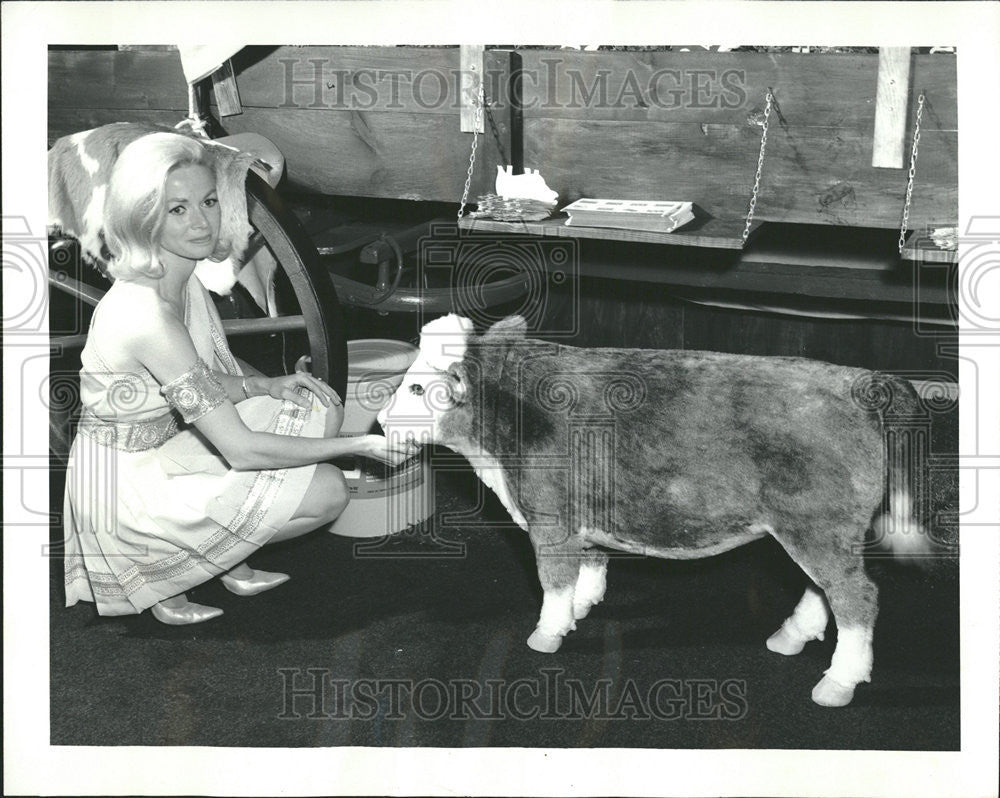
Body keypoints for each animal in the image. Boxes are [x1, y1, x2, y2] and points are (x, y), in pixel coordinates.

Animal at [376, 316, 928, 708]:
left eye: (419, 388)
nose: (380, 421)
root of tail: (862, 382)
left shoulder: (550, 516)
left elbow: (554, 579)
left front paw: (547, 633)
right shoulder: (587, 515)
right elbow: (590, 564)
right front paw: (580, 609)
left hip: (819, 526)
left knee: (857, 596)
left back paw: (838, 681)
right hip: (810, 531)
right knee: (823, 588)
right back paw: (790, 637)